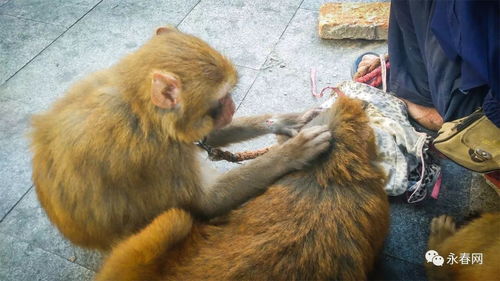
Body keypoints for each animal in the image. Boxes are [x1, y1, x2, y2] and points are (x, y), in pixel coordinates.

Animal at [29, 25, 330, 249]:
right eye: (222, 98)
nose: (232, 106)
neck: (141, 111)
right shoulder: (156, 155)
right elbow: (206, 203)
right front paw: (293, 152)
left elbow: (206, 136)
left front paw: (284, 122)